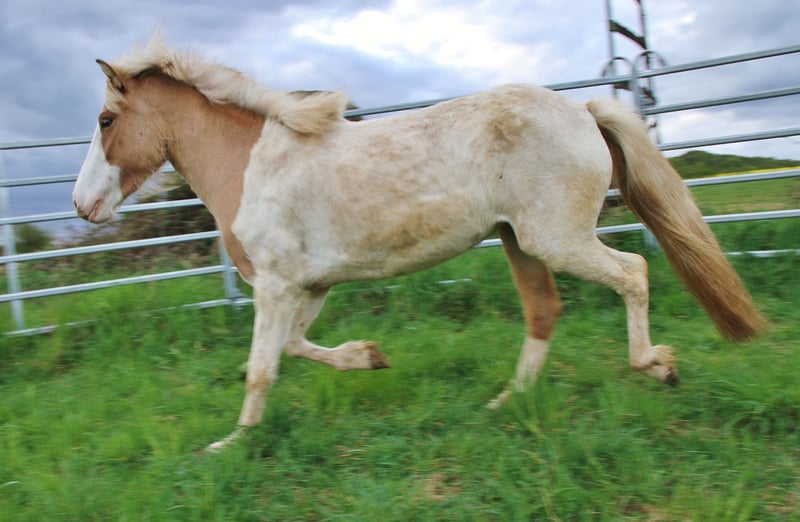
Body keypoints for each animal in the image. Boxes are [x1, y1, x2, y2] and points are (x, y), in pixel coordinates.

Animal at [73, 35, 767, 451]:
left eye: (106, 120)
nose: (84, 206)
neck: (251, 165)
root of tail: (584, 112)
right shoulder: (307, 286)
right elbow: (294, 349)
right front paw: (369, 357)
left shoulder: (275, 286)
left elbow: (262, 369)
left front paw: (230, 446)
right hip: (519, 241)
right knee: (545, 311)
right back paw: (505, 404)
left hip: (556, 238)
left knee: (632, 272)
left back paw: (658, 366)